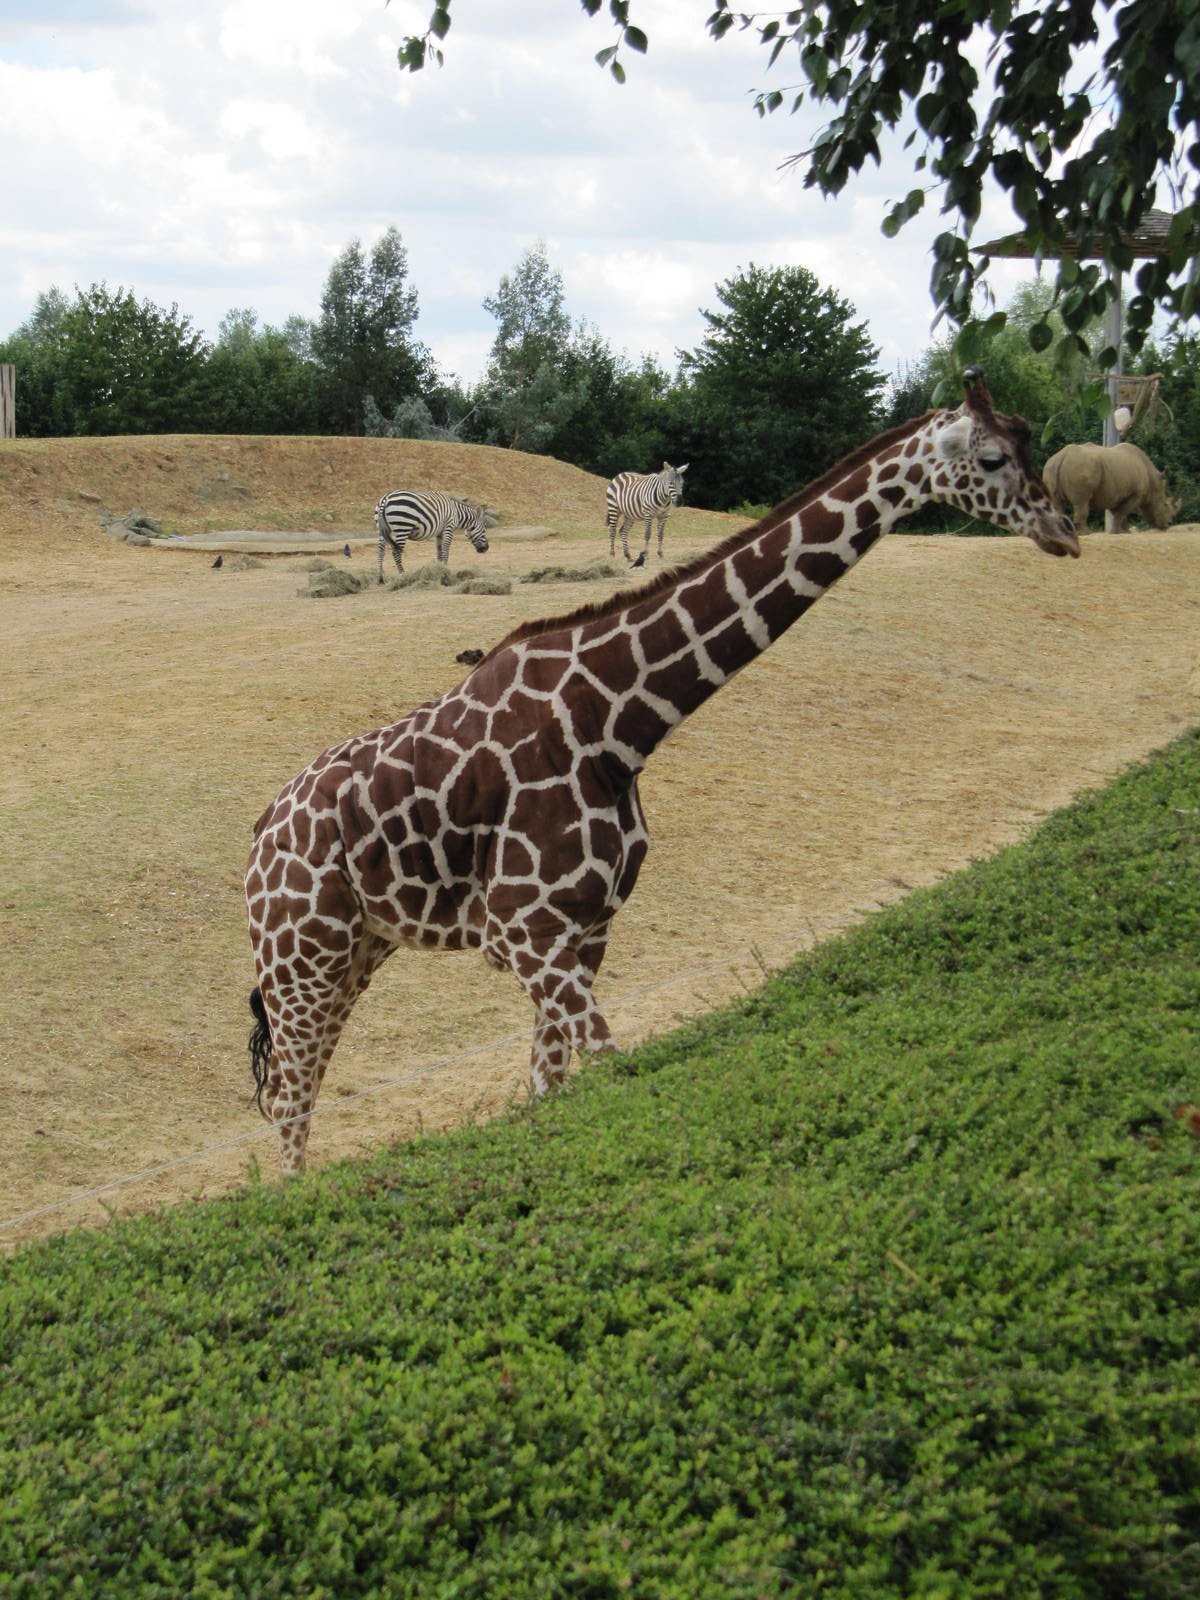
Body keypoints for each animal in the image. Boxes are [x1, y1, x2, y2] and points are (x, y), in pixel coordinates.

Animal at [244, 370, 1078, 1173]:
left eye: (1027, 438)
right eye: (993, 457)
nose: (1064, 532)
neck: (613, 724)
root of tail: (256, 838)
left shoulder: (585, 928)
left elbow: (551, 1087)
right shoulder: (523, 930)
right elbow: (613, 1065)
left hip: (359, 946)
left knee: (297, 1085)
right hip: (302, 951)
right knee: (288, 1095)